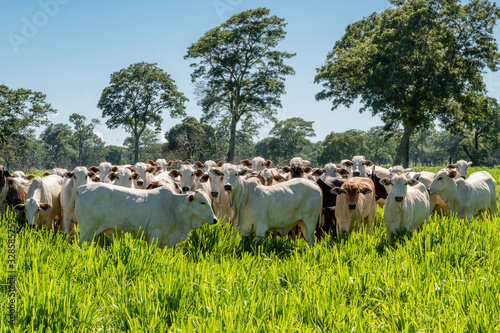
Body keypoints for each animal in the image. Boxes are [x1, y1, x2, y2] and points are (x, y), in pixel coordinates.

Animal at [75, 183, 216, 248]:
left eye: (209, 201)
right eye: (202, 202)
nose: (215, 219)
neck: (174, 206)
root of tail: (82, 188)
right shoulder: (155, 233)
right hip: (87, 230)